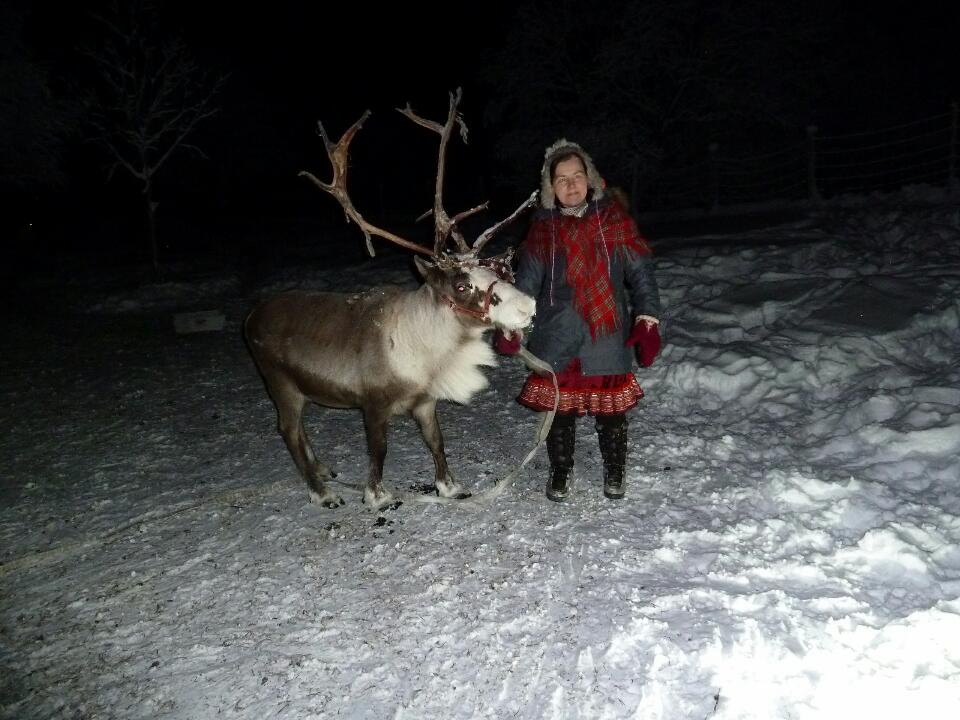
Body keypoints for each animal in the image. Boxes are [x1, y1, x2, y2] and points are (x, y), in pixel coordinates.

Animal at [244, 89, 538, 511]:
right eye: (461, 285)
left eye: (498, 269)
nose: (528, 307)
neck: (428, 351)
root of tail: (251, 316)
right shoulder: (373, 403)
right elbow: (379, 450)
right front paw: (377, 495)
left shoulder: (425, 401)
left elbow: (436, 441)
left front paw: (449, 487)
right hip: (280, 383)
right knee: (288, 429)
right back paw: (322, 492)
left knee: (300, 431)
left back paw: (323, 471)